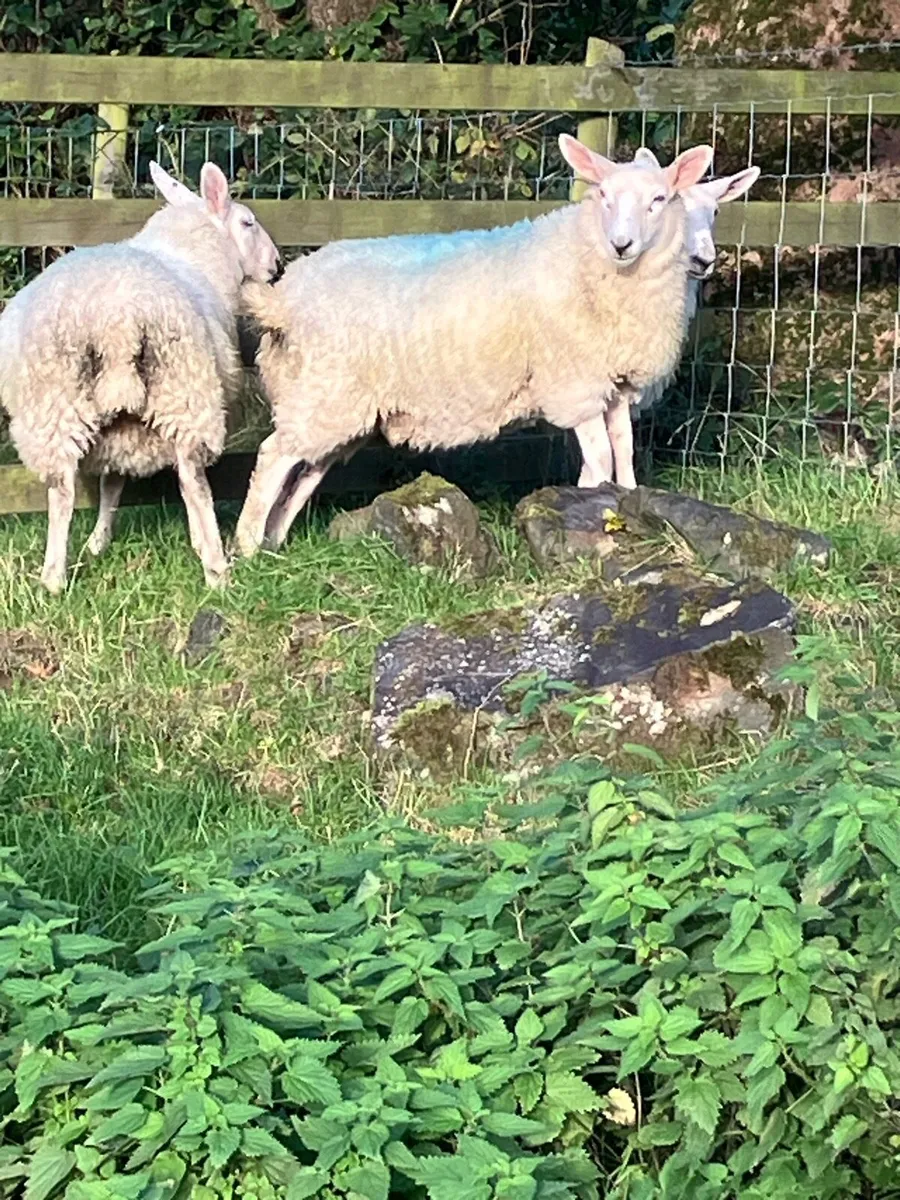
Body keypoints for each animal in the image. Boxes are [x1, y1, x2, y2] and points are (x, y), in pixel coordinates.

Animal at [0, 160, 279, 593]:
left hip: (53, 407)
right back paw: (216, 567)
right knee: (193, 484)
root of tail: (116, 321)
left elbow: (111, 485)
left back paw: (53, 580)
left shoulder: (120, 432)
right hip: (184, 392)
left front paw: (98, 542)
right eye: (248, 222)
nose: (276, 266)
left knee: (61, 492)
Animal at [233, 133, 714, 557]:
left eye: (659, 199)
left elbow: (623, 451)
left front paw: (627, 503)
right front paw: (582, 509)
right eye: (604, 196)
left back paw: (274, 542)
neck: (589, 256)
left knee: (305, 472)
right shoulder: (573, 383)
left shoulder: (613, 382)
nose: (622, 245)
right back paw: (247, 548)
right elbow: (599, 459)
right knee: (272, 458)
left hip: (333, 405)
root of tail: (283, 298)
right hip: (322, 390)